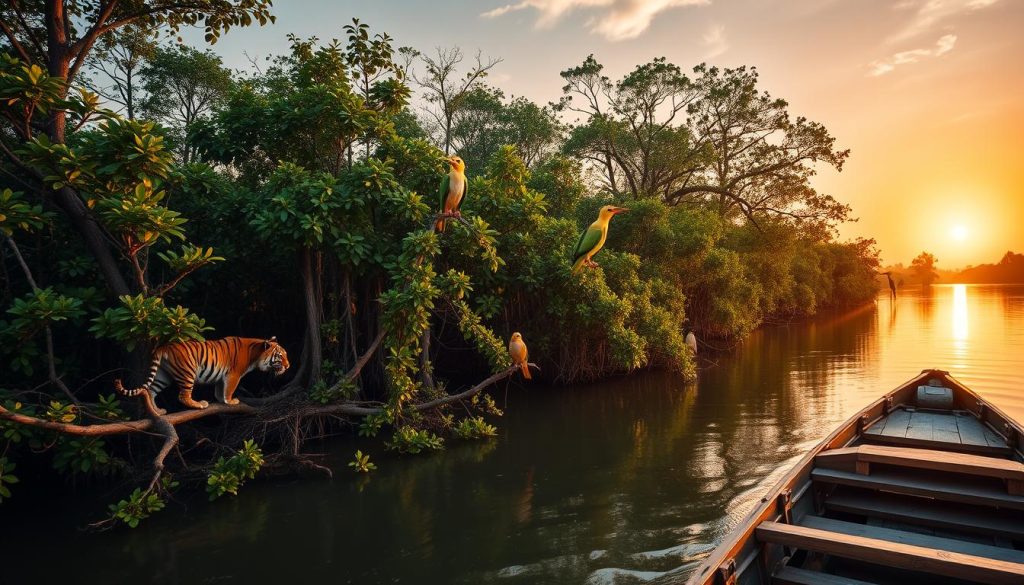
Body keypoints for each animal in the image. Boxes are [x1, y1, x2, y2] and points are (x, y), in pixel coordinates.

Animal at [114, 337, 290, 412]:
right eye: (280, 356)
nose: (288, 366)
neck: (255, 354)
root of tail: (164, 346)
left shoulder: (222, 376)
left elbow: (220, 389)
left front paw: (221, 400)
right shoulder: (234, 374)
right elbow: (229, 389)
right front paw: (231, 401)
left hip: (163, 376)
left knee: (151, 391)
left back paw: (157, 411)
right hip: (187, 372)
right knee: (183, 396)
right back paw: (199, 404)